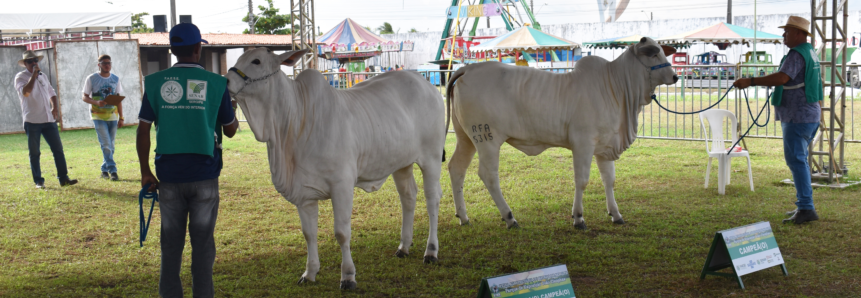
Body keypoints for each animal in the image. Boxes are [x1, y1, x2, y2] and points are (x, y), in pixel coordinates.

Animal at [225, 48, 446, 288]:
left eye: (256, 61)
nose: (225, 80)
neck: (292, 123)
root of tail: (427, 85)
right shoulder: (304, 193)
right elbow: (309, 234)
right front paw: (309, 273)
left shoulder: (342, 186)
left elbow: (341, 233)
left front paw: (348, 276)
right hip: (401, 163)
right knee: (408, 197)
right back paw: (404, 247)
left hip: (432, 158)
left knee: (432, 200)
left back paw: (431, 251)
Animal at [444, 37, 680, 230]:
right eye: (653, 54)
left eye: (662, 51)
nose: (676, 76)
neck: (615, 87)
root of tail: (469, 69)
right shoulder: (583, 143)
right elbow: (582, 180)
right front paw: (578, 218)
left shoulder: (605, 146)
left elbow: (609, 180)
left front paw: (615, 214)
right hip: (487, 140)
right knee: (488, 175)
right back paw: (509, 217)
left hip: (466, 138)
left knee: (457, 168)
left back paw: (463, 216)